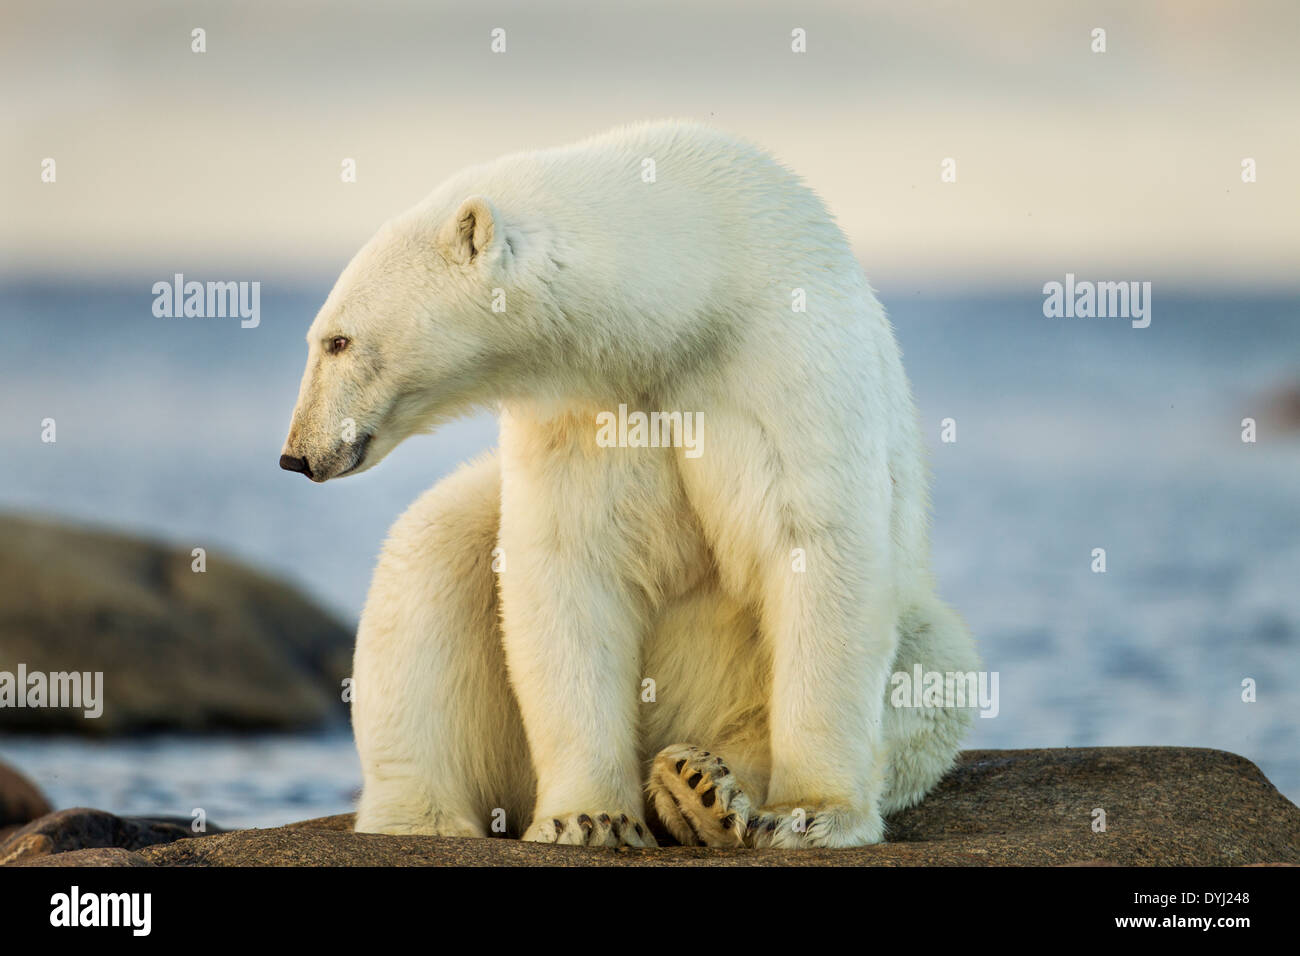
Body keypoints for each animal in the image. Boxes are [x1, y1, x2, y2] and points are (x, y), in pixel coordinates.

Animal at [282, 123, 977, 848]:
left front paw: (809, 813)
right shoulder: (584, 409)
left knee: (938, 670)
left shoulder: (783, 357)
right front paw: (591, 818)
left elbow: (815, 545)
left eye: (336, 341)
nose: (297, 454)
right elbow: (568, 566)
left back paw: (702, 786)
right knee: (432, 554)